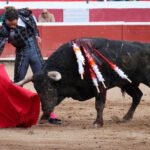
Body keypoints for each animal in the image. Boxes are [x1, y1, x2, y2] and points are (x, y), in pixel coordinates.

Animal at [18, 37, 150, 126]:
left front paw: (97, 123)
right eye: (37, 90)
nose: (46, 109)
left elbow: (99, 105)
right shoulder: (63, 90)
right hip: (128, 83)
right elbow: (55, 101)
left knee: (138, 96)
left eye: (49, 87)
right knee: (138, 96)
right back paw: (127, 117)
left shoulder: (100, 86)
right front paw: (43, 118)